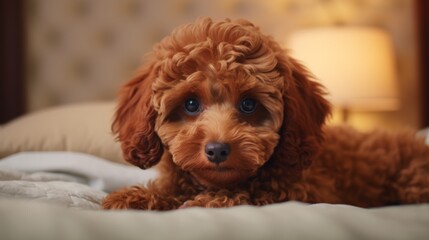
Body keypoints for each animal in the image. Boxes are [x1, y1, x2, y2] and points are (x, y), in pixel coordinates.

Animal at [103, 17, 428, 209]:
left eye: (248, 104)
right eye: (191, 104)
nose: (218, 150)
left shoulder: (304, 189)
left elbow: (248, 193)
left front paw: (204, 202)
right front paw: (134, 197)